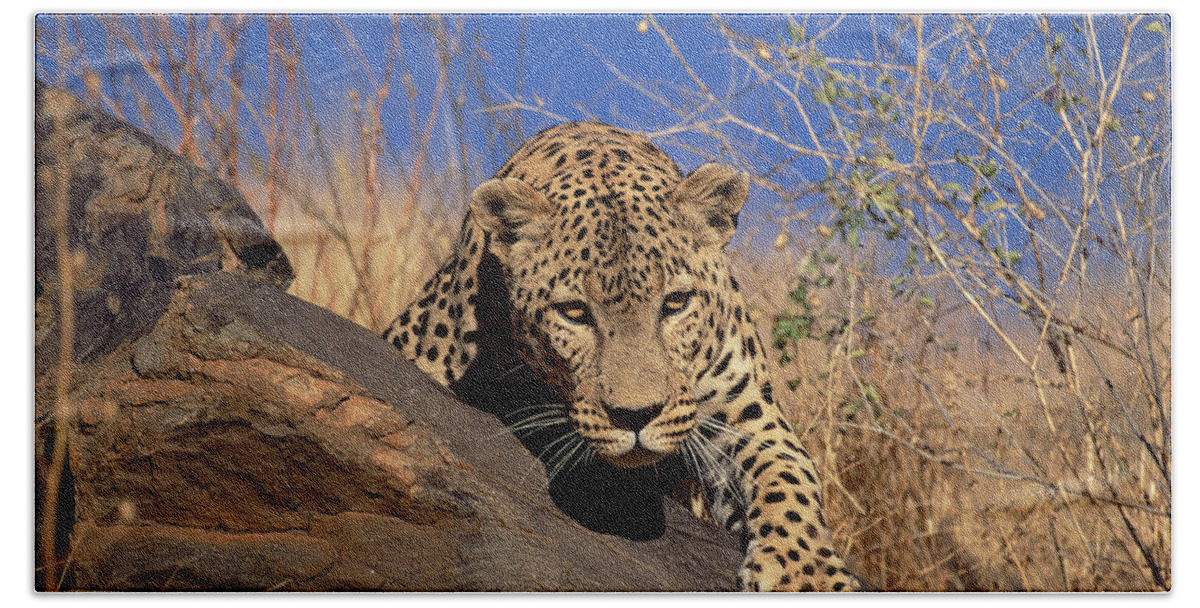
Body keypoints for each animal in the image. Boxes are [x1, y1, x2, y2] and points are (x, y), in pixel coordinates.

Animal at [384, 121, 864, 592]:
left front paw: (807, 576)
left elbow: (790, 472)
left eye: (675, 303)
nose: (636, 416)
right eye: (574, 312)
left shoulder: (745, 409)